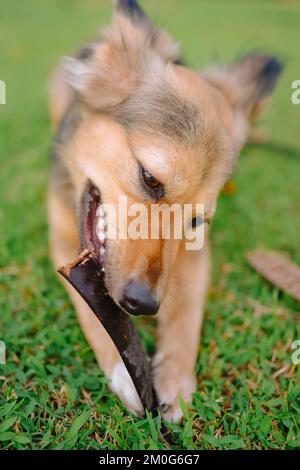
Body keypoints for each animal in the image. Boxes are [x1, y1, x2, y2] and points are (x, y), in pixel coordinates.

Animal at [48, 0, 282, 422]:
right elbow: (91, 311)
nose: (143, 305)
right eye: (150, 178)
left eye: (197, 221)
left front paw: (175, 376)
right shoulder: (61, 242)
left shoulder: (197, 253)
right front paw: (124, 373)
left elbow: (188, 311)